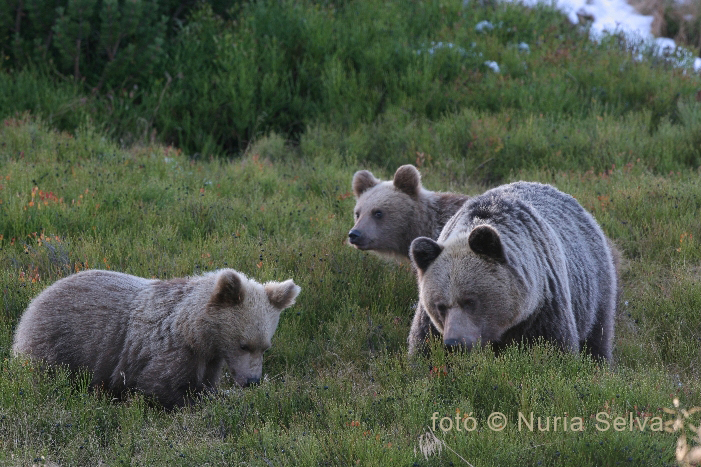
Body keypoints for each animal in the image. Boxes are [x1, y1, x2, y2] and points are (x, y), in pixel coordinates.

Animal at [12, 268, 300, 408]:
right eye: (244, 345)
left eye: (265, 347)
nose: (252, 381)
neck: (196, 332)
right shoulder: (169, 350)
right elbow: (159, 387)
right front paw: (199, 401)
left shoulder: (209, 358)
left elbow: (205, 384)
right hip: (58, 341)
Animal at [408, 181, 616, 360]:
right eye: (440, 306)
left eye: (470, 301)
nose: (454, 343)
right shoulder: (429, 324)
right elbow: (424, 350)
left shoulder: (543, 309)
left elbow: (555, 348)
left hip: (594, 290)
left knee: (597, 336)